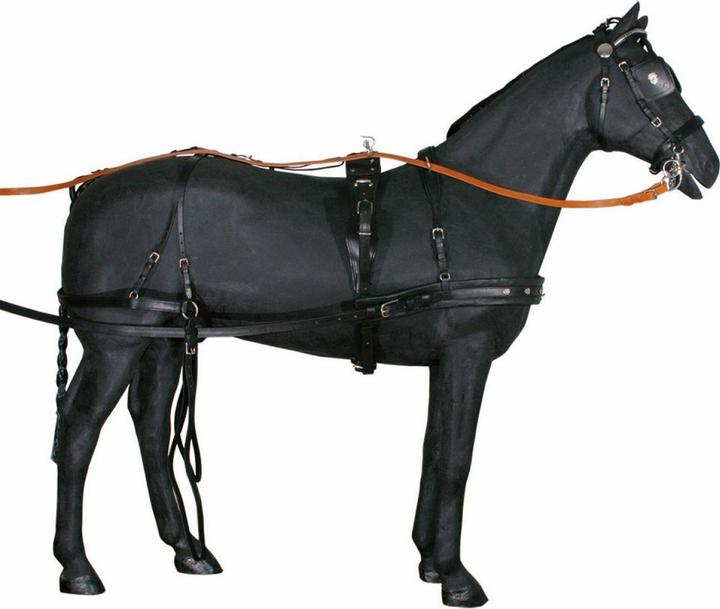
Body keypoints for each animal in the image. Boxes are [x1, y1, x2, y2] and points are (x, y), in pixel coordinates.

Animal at [39, 3, 718, 606]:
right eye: (655, 79)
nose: (706, 166)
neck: (471, 208)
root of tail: (88, 189)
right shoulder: (468, 352)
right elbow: (458, 459)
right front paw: (458, 579)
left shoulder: (445, 358)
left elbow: (434, 450)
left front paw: (428, 560)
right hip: (116, 336)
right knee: (78, 431)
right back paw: (78, 568)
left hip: (160, 333)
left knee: (150, 423)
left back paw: (188, 550)